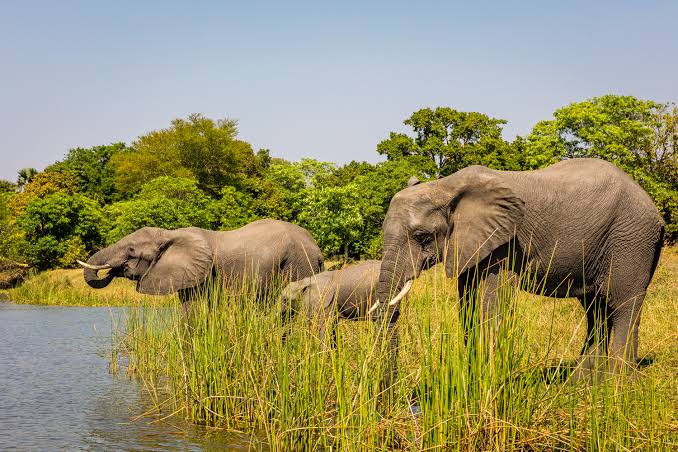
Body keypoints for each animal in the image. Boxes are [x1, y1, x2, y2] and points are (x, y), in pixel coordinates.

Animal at [372, 158, 664, 379]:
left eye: (421, 236)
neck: (445, 186)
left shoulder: (506, 241)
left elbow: (493, 300)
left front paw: (488, 380)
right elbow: (467, 300)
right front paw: (472, 375)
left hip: (632, 239)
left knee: (623, 304)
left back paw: (616, 384)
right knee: (596, 309)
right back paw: (583, 382)